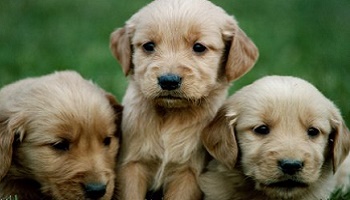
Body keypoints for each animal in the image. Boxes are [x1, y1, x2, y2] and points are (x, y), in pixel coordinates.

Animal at [110, 0, 260, 198]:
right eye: (149, 46)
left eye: (199, 47)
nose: (168, 81)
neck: (169, 115)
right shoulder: (132, 165)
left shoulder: (188, 173)